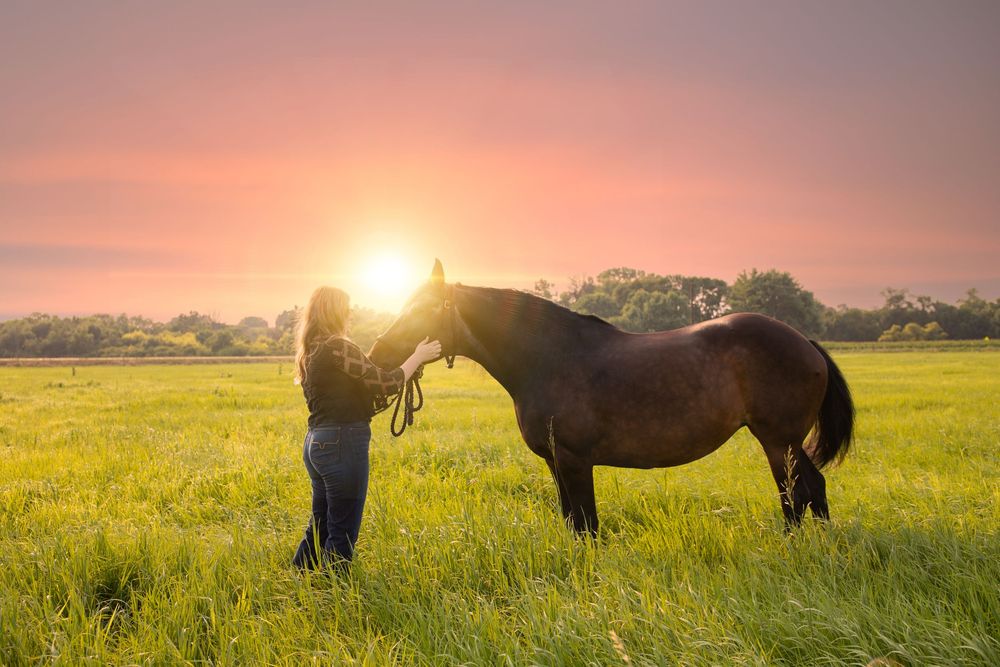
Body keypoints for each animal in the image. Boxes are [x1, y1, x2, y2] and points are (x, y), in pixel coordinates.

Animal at [369, 260, 854, 536]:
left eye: (422, 309)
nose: (377, 354)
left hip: (777, 442)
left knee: (796, 494)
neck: (550, 358)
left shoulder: (574, 460)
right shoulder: (555, 462)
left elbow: (587, 524)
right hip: (785, 442)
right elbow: (571, 521)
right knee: (812, 489)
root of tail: (806, 343)